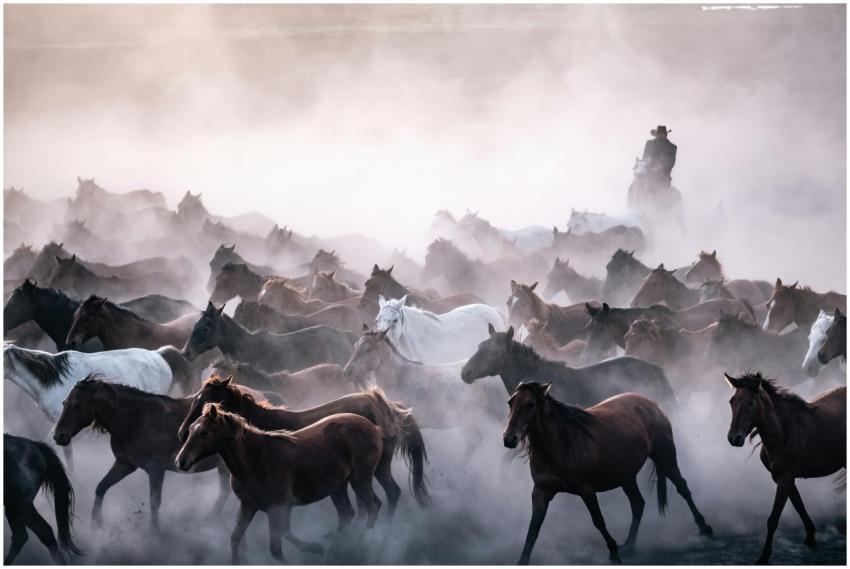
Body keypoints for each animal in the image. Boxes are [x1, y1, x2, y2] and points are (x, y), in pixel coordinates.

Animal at [52, 376, 231, 529]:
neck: (134, 419)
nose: (58, 435)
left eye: (76, 405)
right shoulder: (125, 464)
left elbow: (154, 503)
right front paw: (96, 525)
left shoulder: (156, 470)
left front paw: (154, 533)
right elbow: (101, 487)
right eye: (63, 402)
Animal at [176, 403, 385, 563]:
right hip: (338, 487)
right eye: (192, 428)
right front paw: (314, 548)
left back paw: (363, 543)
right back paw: (335, 549)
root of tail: (373, 428)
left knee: (373, 506)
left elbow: (276, 549)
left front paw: (311, 548)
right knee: (347, 514)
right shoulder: (249, 506)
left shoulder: (277, 507)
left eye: (204, 432)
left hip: (360, 480)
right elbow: (236, 538)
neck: (255, 460)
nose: (181, 461)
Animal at [177, 374, 429, 517]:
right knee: (390, 493)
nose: (182, 433)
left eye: (209, 401)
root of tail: (388, 407)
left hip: (373, 467)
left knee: (387, 495)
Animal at [504, 382, 711, 564]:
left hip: (665, 457)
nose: (509, 439)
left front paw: (613, 552)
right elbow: (534, 528)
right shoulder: (540, 492)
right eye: (510, 402)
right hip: (626, 476)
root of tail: (650, 403)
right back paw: (629, 545)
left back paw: (705, 528)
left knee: (682, 488)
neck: (561, 444)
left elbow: (598, 521)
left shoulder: (586, 490)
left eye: (530, 404)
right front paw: (522, 560)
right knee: (638, 503)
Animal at [724, 372, 846, 563]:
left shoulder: (785, 478)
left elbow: (773, 519)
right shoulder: (781, 478)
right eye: (732, 401)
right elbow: (799, 506)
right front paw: (811, 539)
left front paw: (764, 556)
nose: (733, 438)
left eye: (751, 403)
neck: (784, 431)